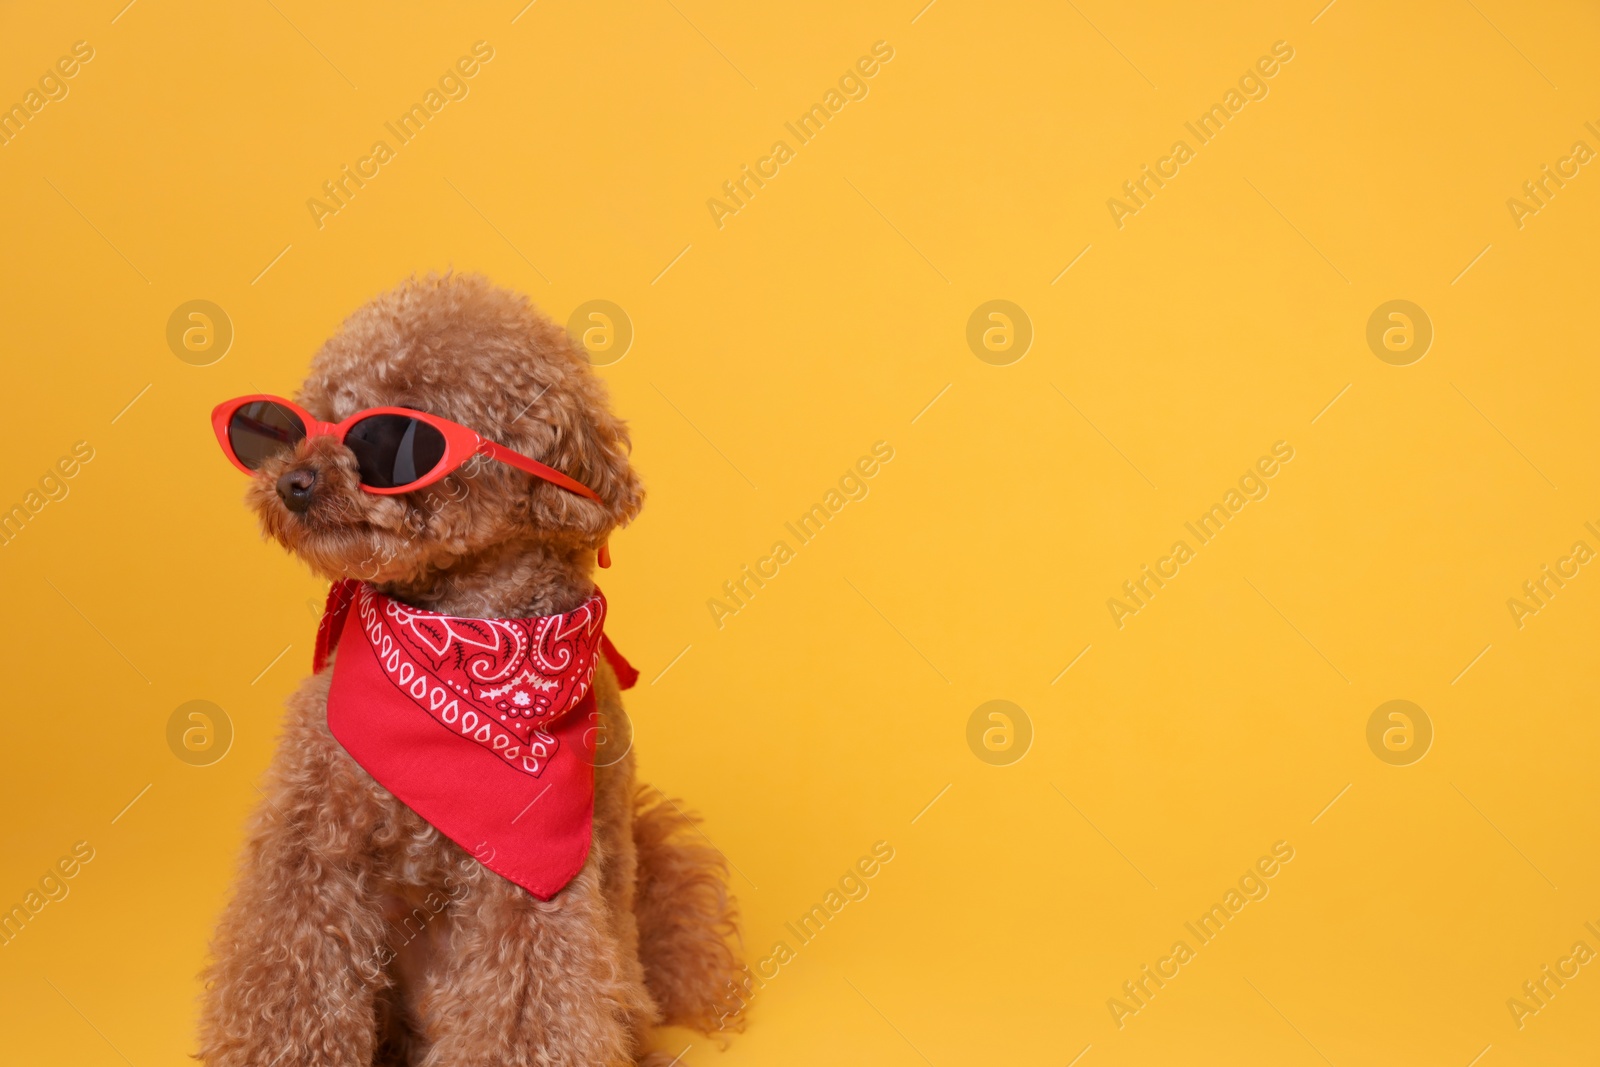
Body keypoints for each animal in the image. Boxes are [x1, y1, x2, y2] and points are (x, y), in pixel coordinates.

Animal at [198, 278, 742, 1067]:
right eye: (303, 423)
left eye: (392, 437)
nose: (294, 481)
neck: (462, 640)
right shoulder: (311, 839)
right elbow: (290, 965)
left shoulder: (528, 877)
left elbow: (525, 1005)